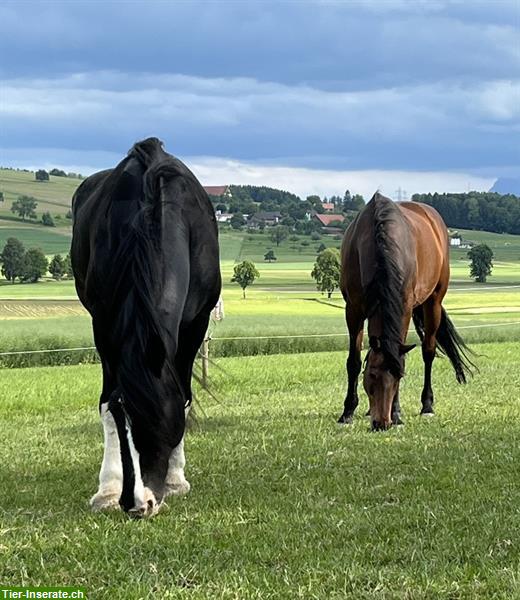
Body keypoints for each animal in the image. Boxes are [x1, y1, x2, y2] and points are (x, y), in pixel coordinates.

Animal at [70, 136, 221, 516]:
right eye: (125, 422)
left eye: (156, 419)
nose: (137, 504)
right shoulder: (104, 325)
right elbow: (107, 401)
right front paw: (108, 489)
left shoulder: (195, 325)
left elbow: (184, 396)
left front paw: (176, 479)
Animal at [338, 192, 476, 432]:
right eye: (371, 375)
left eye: (398, 377)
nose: (382, 424)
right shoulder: (353, 309)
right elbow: (354, 362)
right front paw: (347, 412)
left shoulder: (403, 307)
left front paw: (396, 413)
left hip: (433, 302)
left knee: (428, 351)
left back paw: (427, 406)